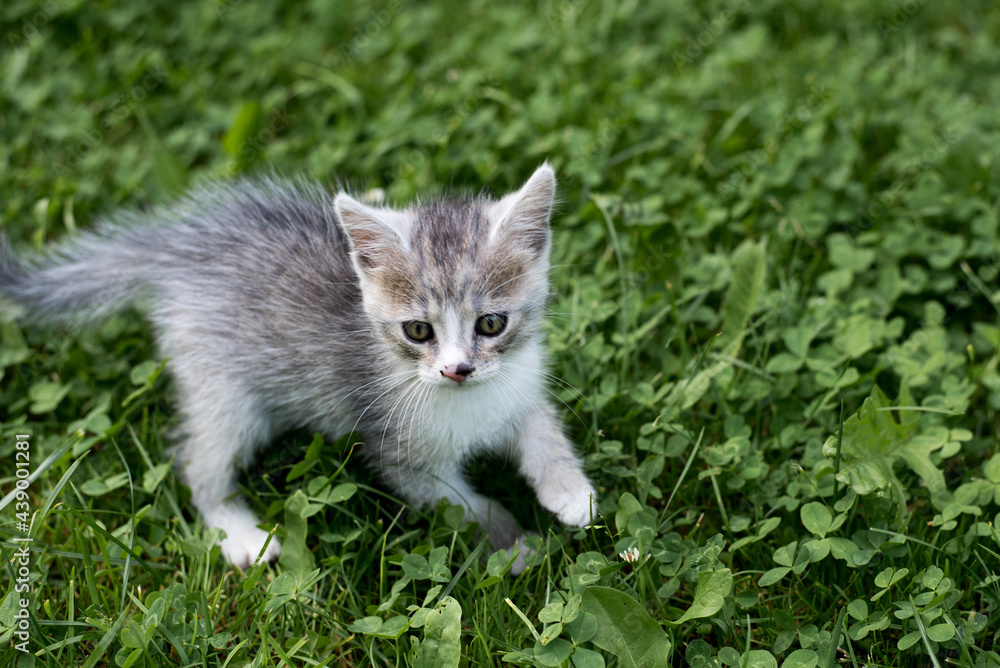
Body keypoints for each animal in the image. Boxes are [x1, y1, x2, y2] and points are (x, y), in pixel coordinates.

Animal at [0, 164, 596, 572]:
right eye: (419, 331)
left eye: (491, 324)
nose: (457, 370)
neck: (468, 402)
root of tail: (181, 247)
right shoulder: (395, 449)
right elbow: (460, 504)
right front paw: (512, 542)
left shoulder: (520, 385)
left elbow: (543, 429)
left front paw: (571, 492)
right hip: (226, 391)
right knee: (198, 464)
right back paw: (240, 533)